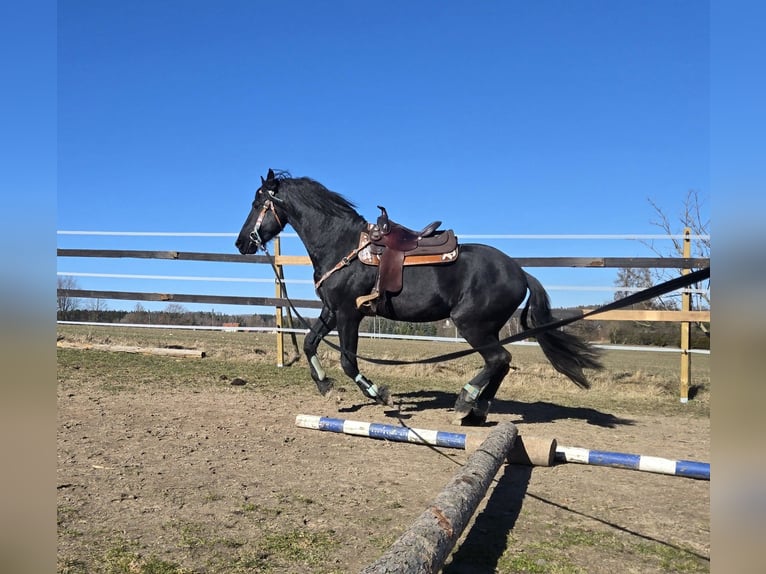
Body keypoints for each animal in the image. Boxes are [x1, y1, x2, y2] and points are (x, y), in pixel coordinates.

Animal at [236, 169, 602, 425]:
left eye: (256, 203)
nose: (241, 243)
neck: (342, 246)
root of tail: (521, 273)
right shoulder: (330, 310)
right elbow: (311, 344)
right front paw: (325, 386)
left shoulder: (349, 314)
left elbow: (348, 360)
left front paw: (378, 393)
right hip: (488, 327)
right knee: (500, 364)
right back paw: (477, 411)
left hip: (472, 324)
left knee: (498, 359)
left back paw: (465, 402)